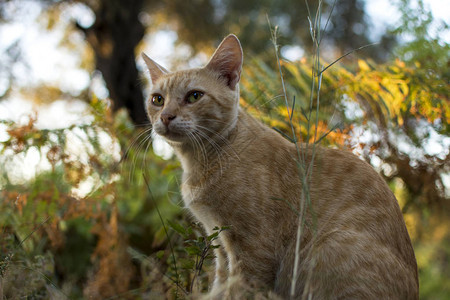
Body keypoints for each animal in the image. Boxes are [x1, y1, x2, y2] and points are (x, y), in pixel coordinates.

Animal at [142, 34, 420, 298]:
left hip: (330, 245)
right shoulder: (220, 243)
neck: (204, 159)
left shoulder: (253, 250)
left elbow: (239, 291)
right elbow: (219, 286)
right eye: (157, 99)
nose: (166, 116)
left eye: (194, 96)